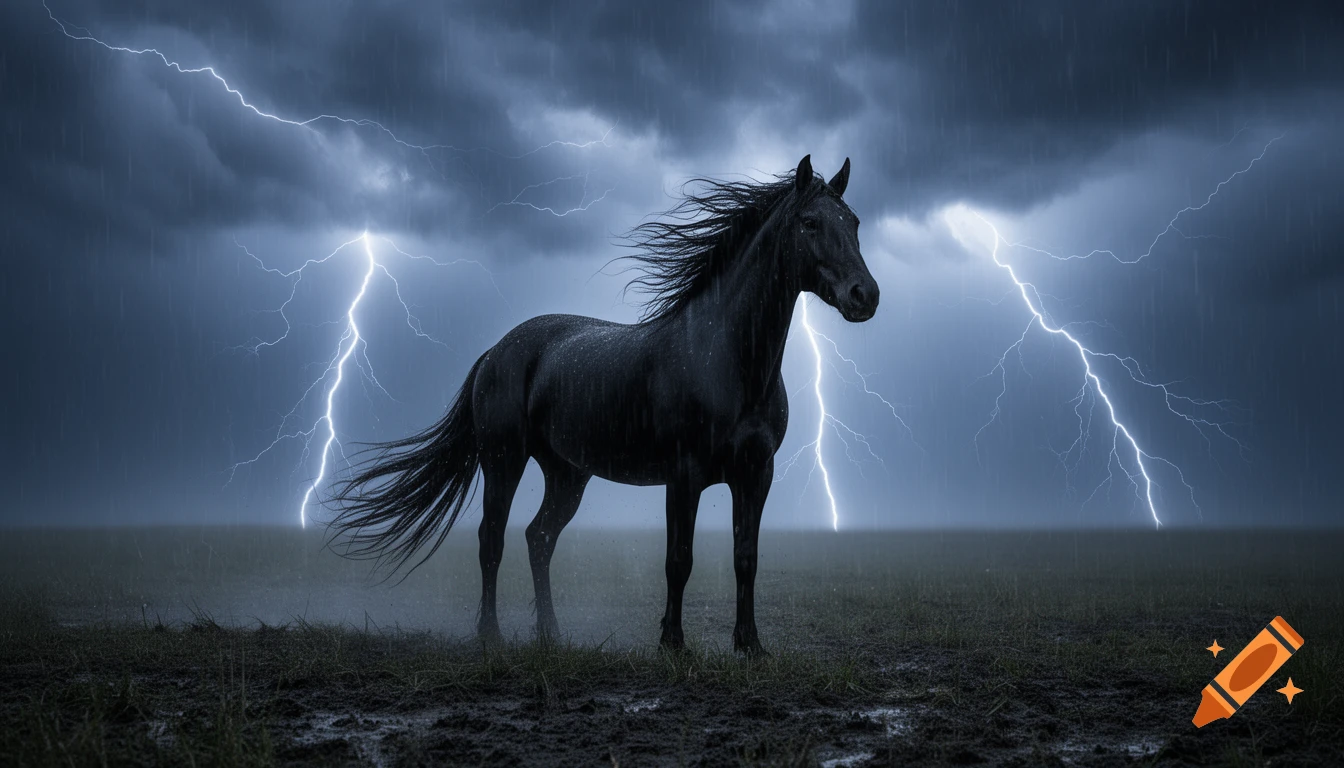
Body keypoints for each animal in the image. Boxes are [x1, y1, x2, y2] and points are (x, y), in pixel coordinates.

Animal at [327, 154, 879, 655]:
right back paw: (491, 637)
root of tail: (497, 351)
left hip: (567, 474)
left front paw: (751, 648)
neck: (727, 360)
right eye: (810, 223)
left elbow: (747, 558)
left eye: (853, 222)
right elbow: (679, 560)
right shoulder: (685, 475)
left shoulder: (756, 474)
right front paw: (673, 645)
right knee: (492, 540)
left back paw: (551, 636)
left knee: (538, 538)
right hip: (503, 460)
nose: (865, 295)